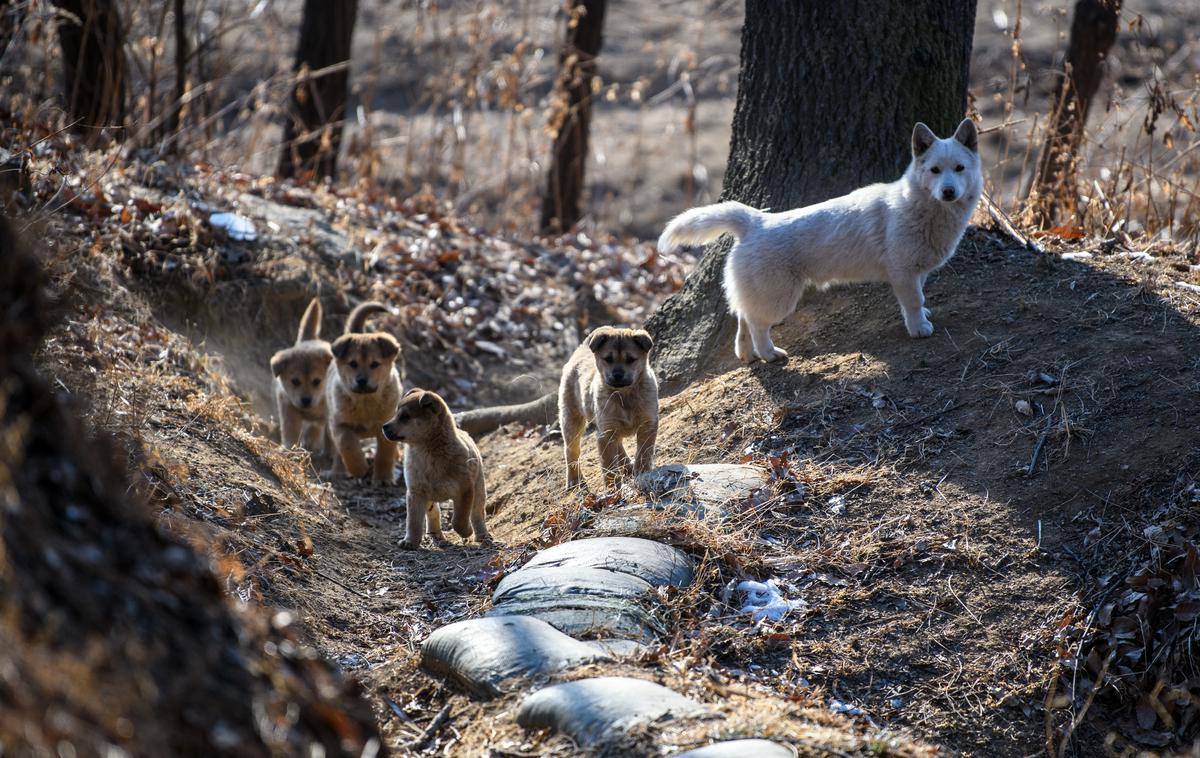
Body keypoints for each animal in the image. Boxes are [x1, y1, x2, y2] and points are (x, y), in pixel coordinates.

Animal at [270, 297, 331, 455]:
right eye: (295, 381)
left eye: (317, 381)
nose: (306, 400)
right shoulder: (287, 404)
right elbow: (290, 429)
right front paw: (289, 448)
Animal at [324, 303, 403, 484]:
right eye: (353, 364)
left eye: (375, 364)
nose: (361, 381)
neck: (366, 401)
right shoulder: (339, 424)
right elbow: (347, 445)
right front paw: (359, 468)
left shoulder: (386, 425)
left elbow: (384, 454)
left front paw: (383, 479)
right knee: (338, 452)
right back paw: (338, 471)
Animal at [386, 390, 494, 551]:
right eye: (395, 414)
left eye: (405, 416)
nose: (384, 427)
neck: (427, 453)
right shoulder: (416, 492)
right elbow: (413, 521)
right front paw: (410, 541)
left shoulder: (465, 490)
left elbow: (459, 520)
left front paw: (467, 531)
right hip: (430, 497)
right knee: (434, 513)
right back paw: (435, 534)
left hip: (479, 489)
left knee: (477, 513)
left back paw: (482, 535)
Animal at [559, 326, 662, 491]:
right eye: (608, 359)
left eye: (631, 359)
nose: (618, 375)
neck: (624, 395)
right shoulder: (605, 433)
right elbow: (609, 467)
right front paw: (613, 490)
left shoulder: (648, 423)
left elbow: (644, 452)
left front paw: (642, 472)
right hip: (571, 419)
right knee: (571, 451)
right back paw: (574, 479)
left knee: (619, 446)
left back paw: (627, 465)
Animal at [657, 119, 984, 362]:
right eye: (935, 170)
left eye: (959, 169)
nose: (948, 192)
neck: (922, 207)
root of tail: (754, 221)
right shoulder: (903, 271)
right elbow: (914, 301)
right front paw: (919, 328)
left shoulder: (916, 271)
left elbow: (917, 297)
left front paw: (921, 317)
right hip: (778, 298)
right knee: (757, 323)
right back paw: (768, 354)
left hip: (760, 293)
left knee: (742, 316)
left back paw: (746, 354)